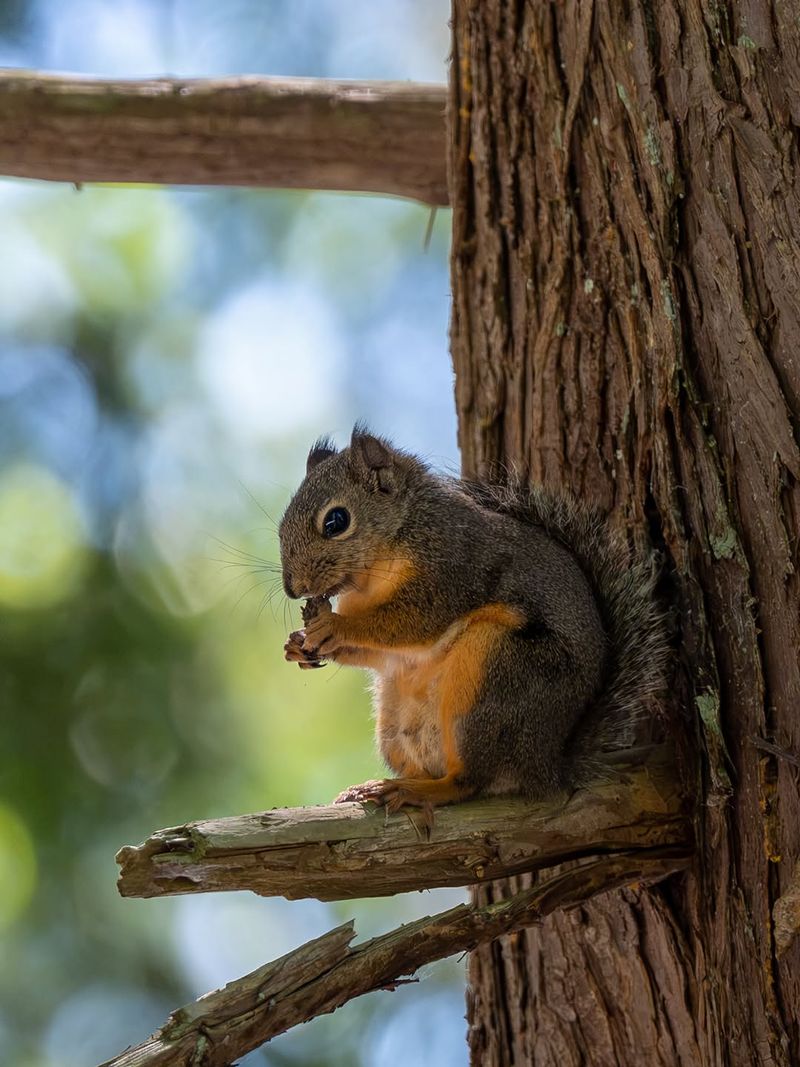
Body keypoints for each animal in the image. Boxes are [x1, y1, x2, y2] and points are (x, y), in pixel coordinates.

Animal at [279, 426, 668, 814]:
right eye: (282, 525)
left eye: (336, 521)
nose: (294, 589)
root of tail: (547, 765)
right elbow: (380, 653)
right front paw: (299, 644)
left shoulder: (453, 568)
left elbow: (414, 621)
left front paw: (335, 626)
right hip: (393, 717)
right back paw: (382, 786)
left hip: (495, 674)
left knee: (470, 781)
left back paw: (421, 791)